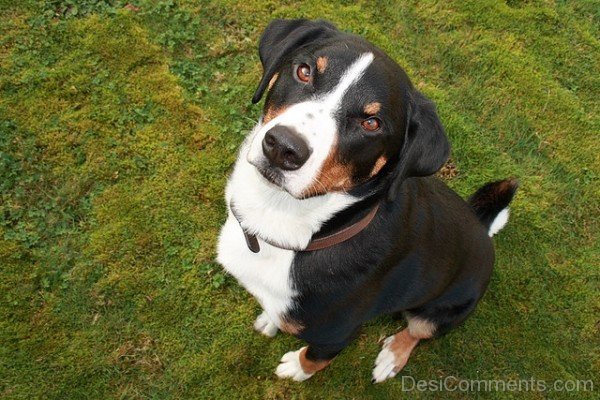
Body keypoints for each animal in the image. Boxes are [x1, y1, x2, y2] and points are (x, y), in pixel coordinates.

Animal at [218, 19, 516, 384]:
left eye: (371, 123)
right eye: (304, 71)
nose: (283, 147)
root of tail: (482, 228)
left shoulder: (335, 335)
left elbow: (315, 358)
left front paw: (297, 368)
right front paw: (268, 319)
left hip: (443, 310)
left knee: (417, 331)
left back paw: (391, 357)